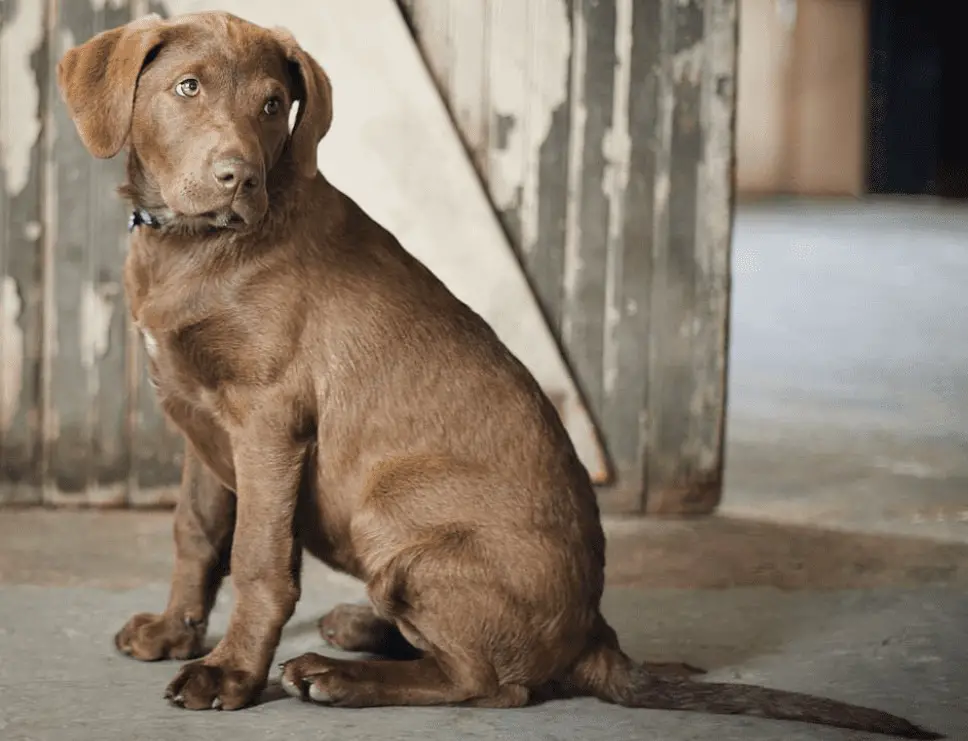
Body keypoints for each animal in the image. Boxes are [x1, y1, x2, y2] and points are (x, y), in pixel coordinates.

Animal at [58, 11, 936, 740]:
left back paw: (339, 675)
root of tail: (594, 632)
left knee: (492, 681)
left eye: (274, 106)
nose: (239, 177)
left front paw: (231, 674)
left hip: (394, 518)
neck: (192, 246)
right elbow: (197, 532)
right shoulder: (202, 421)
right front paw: (175, 632)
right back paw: (363, 630)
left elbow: (258, 558)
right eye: (187, 87)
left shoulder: (270, 420)